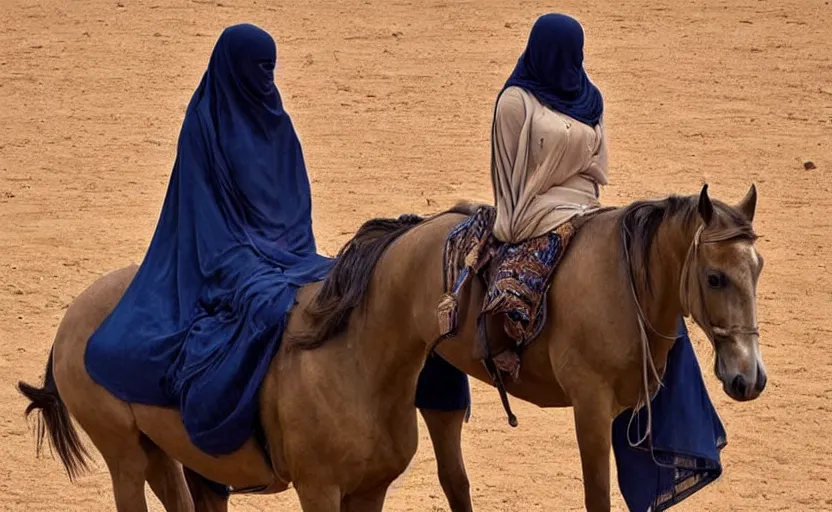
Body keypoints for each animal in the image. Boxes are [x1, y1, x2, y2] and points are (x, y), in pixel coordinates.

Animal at [16, 183, 768, 508]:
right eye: (714, 275)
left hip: (168, 454)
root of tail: (73, 321)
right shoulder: (591, 408)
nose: (749, 378)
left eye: (758, 268)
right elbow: (597, 492)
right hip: (125, 455)